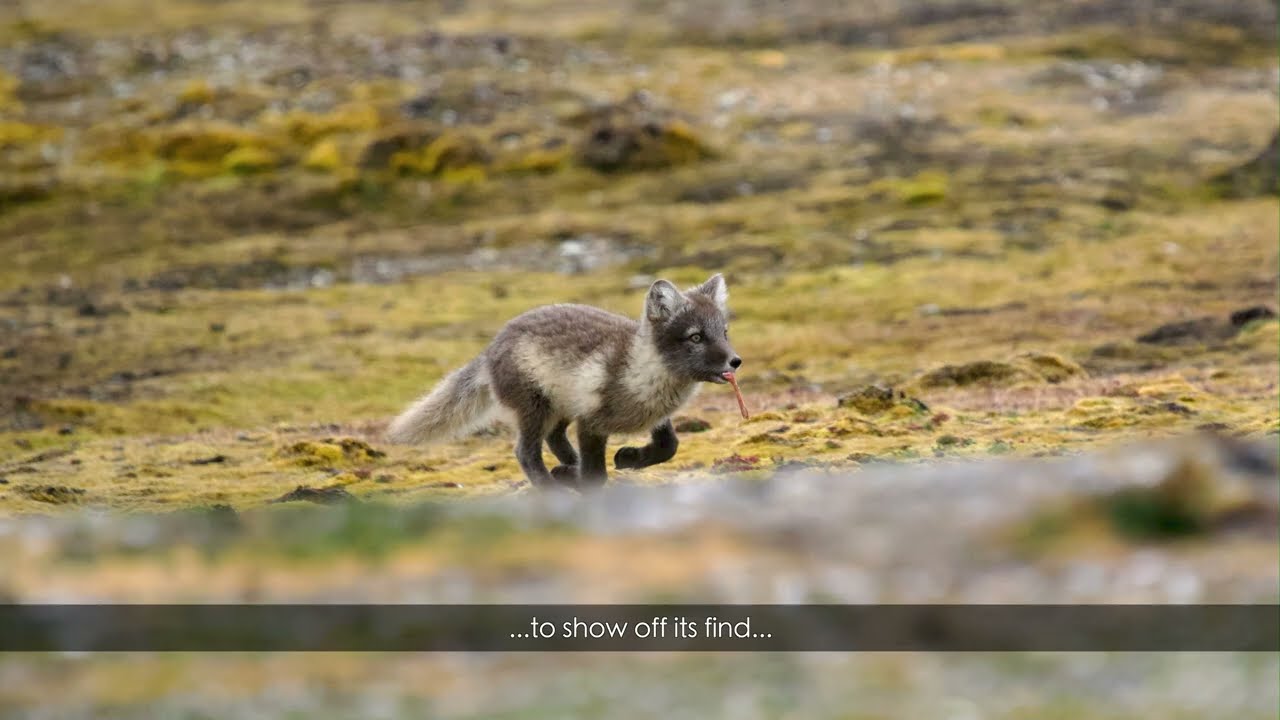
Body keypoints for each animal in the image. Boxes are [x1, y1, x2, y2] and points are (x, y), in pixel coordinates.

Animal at [385, 273, 742, 488]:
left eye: (724, 333)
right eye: (695, 337)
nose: (735, 362)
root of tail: (489, 350)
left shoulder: (654, 417)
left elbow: (669, 446)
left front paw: (629, 458)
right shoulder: (591, 423)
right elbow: (596, 475)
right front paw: (587, 484)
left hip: (560, 406)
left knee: (554, 438)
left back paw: (569, 466)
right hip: (534, 409)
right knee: (525, 452)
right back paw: (552, 485)